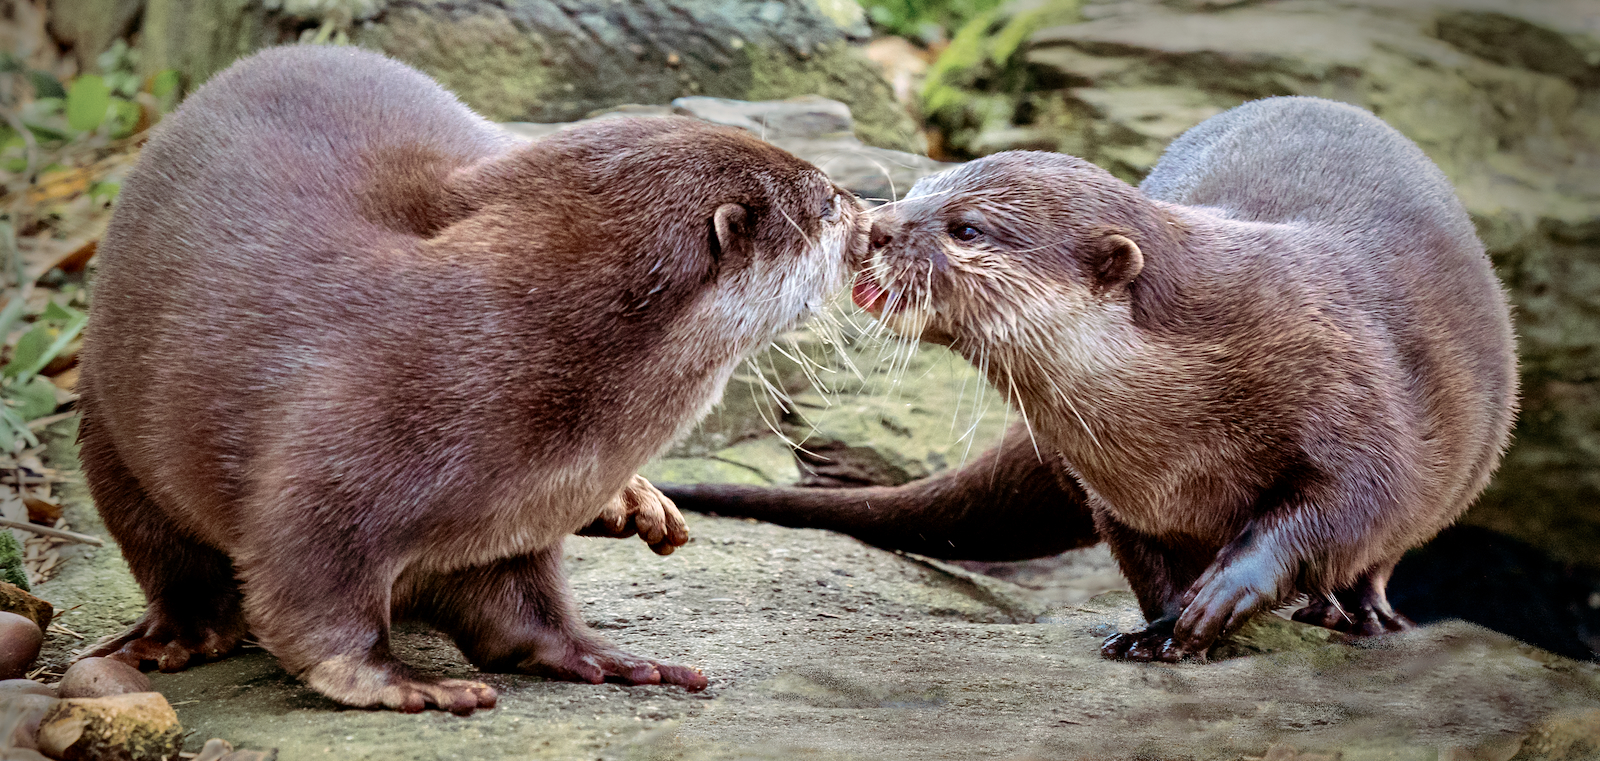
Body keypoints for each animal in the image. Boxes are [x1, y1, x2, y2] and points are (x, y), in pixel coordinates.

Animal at [76, 45, 866, 712]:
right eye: (827, 202)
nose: (870, 217)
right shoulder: (324, 477)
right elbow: (309, 603)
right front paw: (402, 685)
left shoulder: (512, 526)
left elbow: (521, 615)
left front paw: (603, 657)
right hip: (108, 427)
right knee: (170, 557)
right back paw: (172, 638)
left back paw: (635, 501)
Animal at [660, 97, 1518, 662]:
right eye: (919, 190)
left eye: (966, 227)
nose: (876, 228)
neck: (1182, 434)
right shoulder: (1112, 486)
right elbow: (1142, 562)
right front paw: (1156, 628)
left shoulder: (1348, 390)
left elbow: (1348, 504)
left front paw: (1227, 596)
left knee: (1385, 551)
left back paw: (1360, 614)